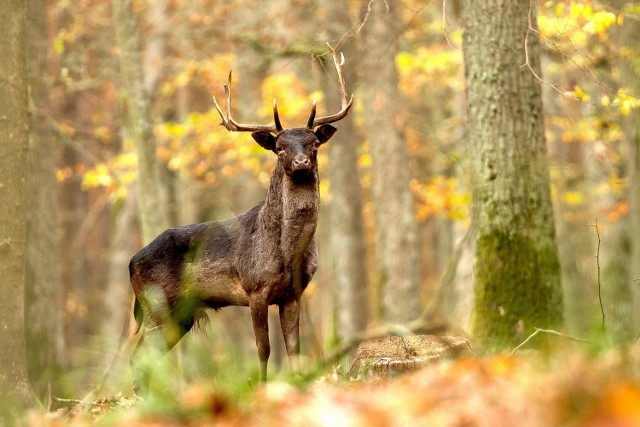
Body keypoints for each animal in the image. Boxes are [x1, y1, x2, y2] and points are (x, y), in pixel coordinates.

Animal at [128, 44, 352, 392]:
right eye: (279, 147)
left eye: (314, 143)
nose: (301, 162)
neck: (287, 254)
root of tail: (132, 263)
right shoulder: (254, 288)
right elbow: (263, 348)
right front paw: (261, 387)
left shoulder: (293, 294)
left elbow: (294, 348)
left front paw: (297, 383)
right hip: (156, 305)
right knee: (138, 357)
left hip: (180, 314)